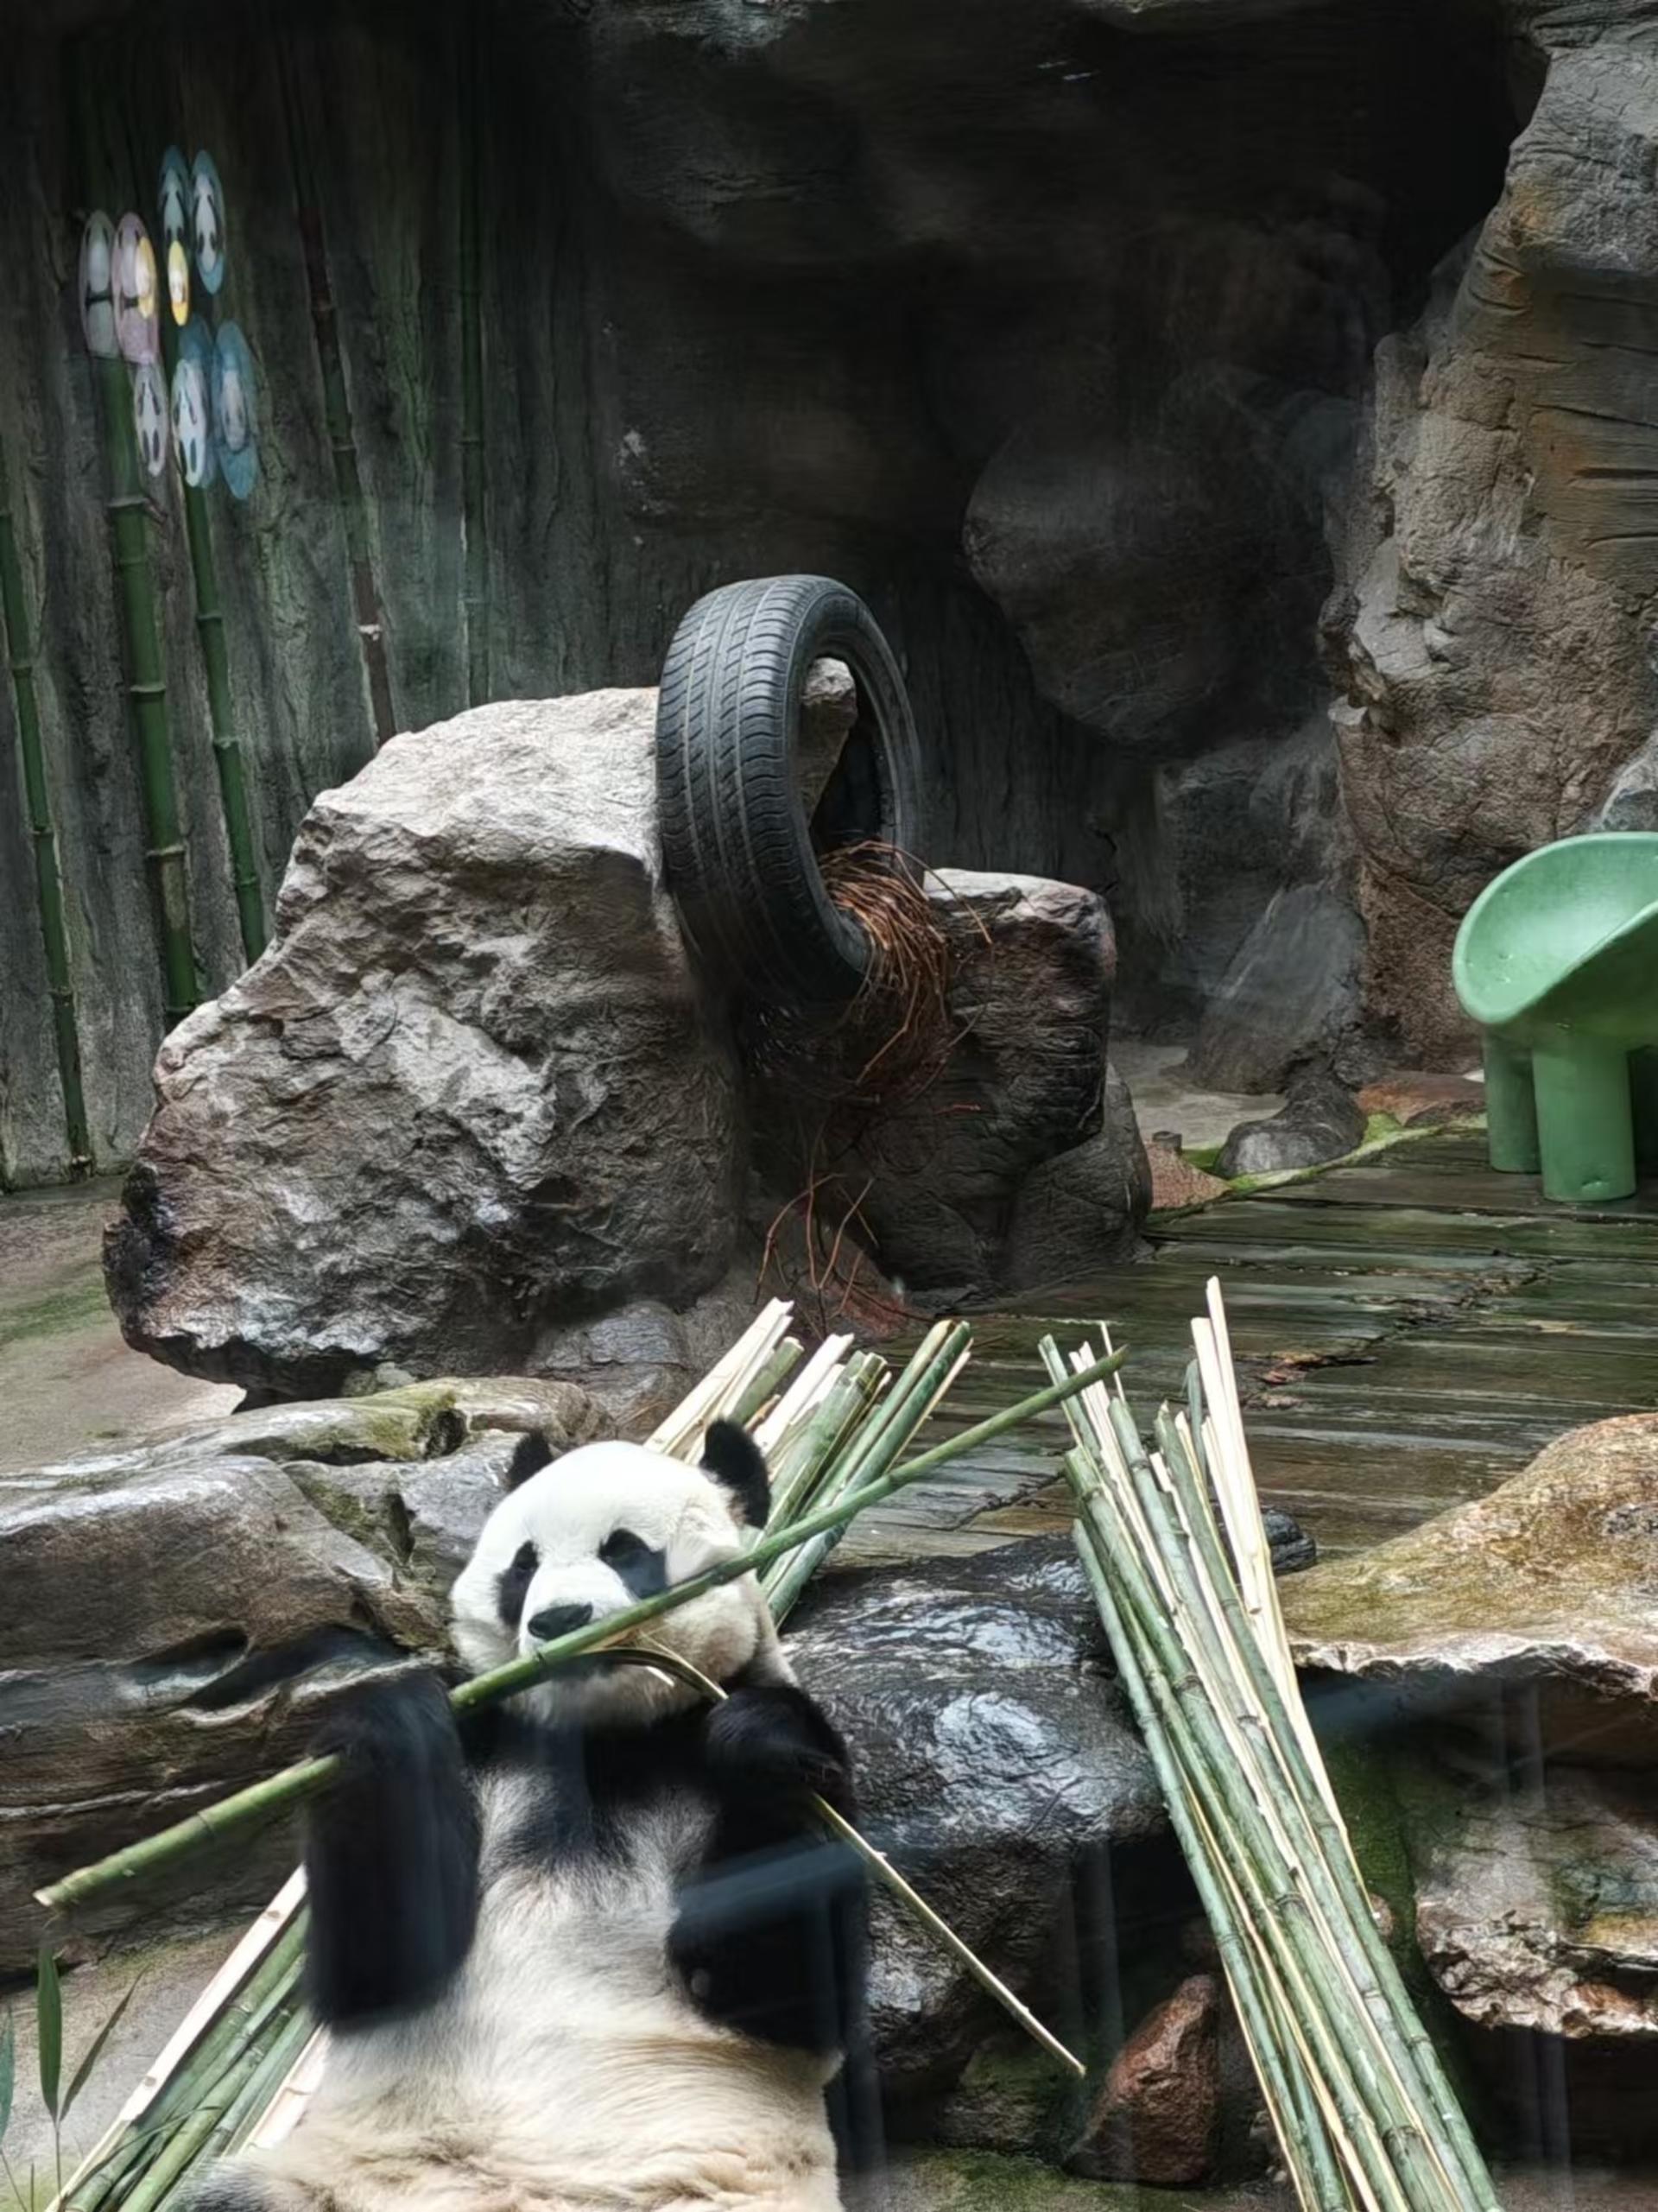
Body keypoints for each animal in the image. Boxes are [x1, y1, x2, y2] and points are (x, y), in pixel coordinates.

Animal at [188, 1422, 872, 2212]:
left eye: (625, 1550)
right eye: (523, 1564)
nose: (559, 1620)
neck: (598, 1737)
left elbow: (785, 1996)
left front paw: (764, 1744)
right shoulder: (485, 1739)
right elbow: (376, 1974)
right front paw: (389, 1730)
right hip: (329, 2178)